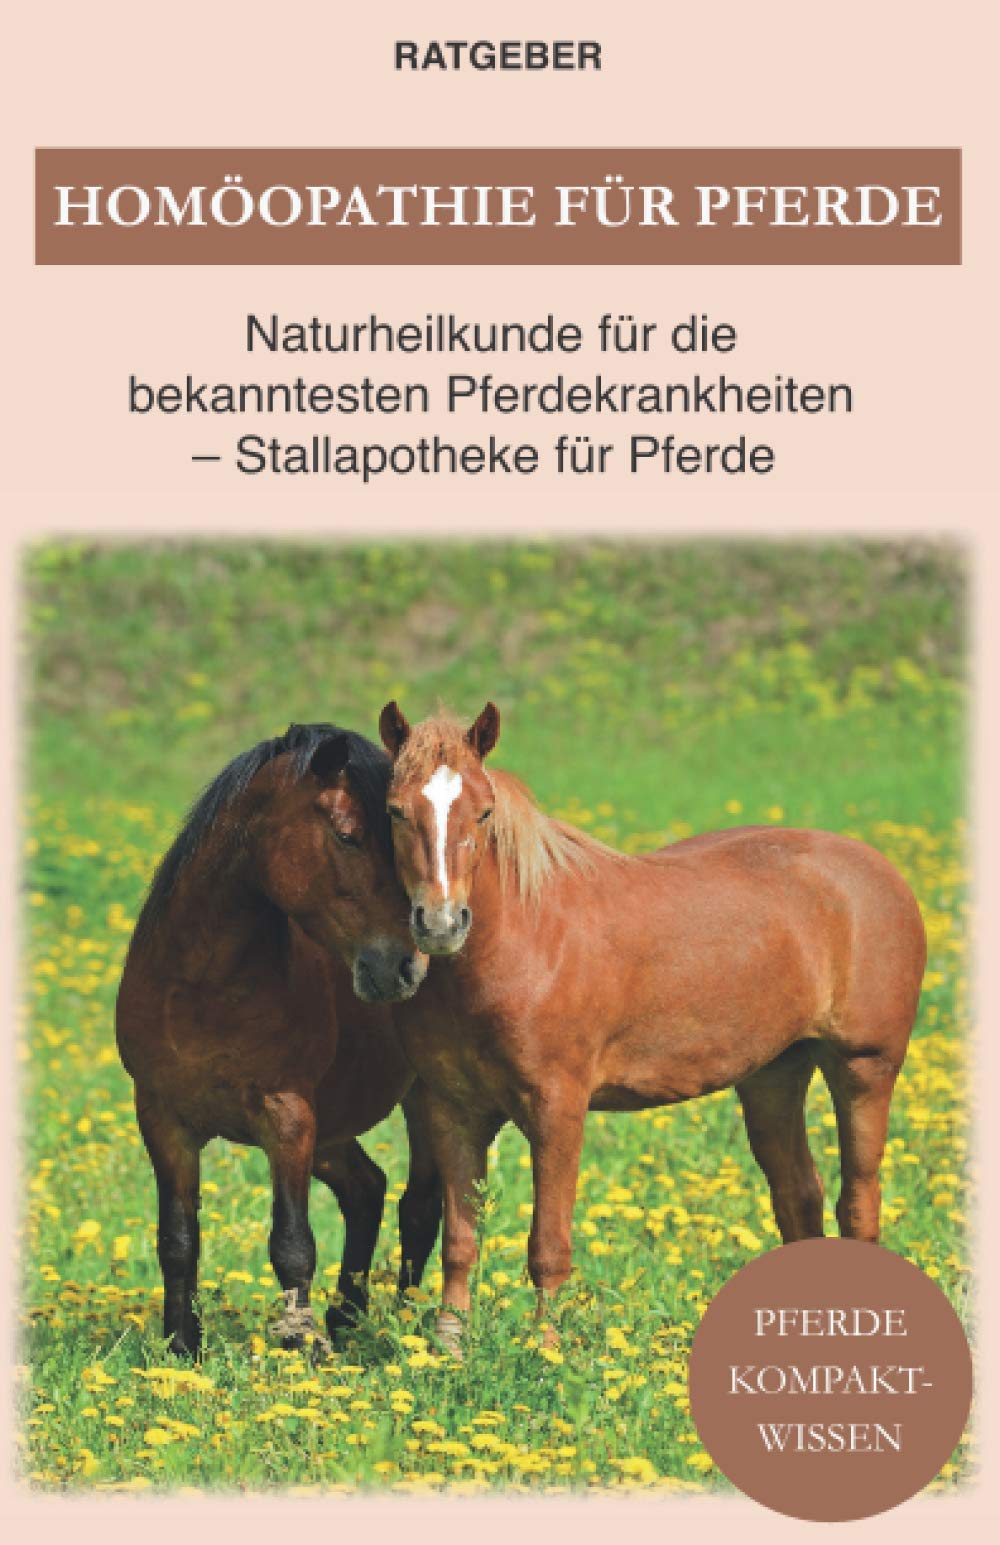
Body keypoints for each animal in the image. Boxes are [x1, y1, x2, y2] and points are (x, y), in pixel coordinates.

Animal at [116, 723, 441, 1357]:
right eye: (347, 835)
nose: (404, 968)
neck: (201, 987)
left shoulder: (287, 1117)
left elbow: (292, 1245)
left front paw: (298, 1353)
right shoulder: (163, 1119)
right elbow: (178, 1239)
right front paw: (181, 1349)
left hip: (423, 1099)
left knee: (419, 1206)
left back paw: (406, 1327)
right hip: (333, 1125)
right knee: (366, 1189)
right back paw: (345, 1320)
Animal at [377, 701, 927, 1351]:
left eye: (483, 811)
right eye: (395, 810)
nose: (440, 924)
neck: (525, 941)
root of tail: (879, 872)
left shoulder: (556, 1109)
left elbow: (548, 1246)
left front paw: (546, 1352)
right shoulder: (452, 1110)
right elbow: (460, 1239)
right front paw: (448, 1349)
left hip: (864, 1070)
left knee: (858, 1205)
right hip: (773, 1077)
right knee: (800, 1197)